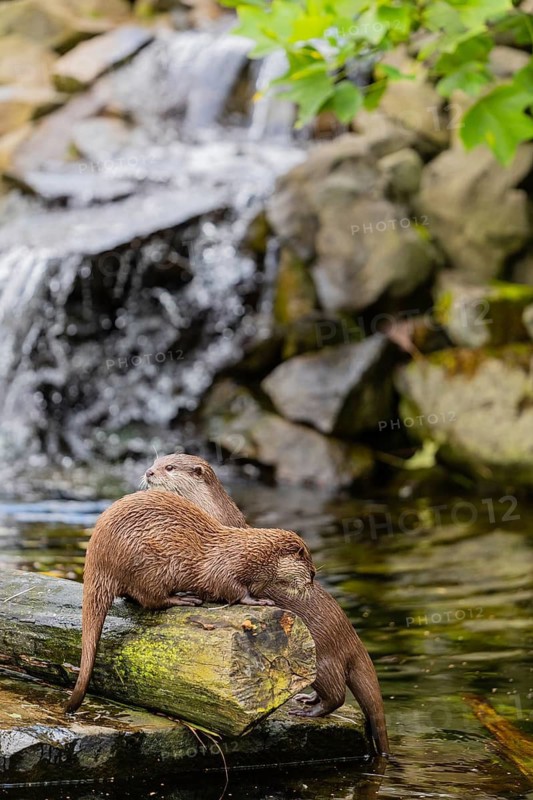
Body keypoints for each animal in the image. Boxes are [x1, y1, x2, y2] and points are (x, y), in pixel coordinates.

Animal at [65, 490, 314, 714]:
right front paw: (259, 601)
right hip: (146, 566)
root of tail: (97, 557)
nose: (312, 581)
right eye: (309, 570)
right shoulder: (223, 568)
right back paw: (185, 598)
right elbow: (233, 589)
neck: (248, 555)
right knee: (150, 599)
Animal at [143, 453, 390, 756]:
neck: (208, 512)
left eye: (169, 467)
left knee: (337, 694)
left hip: (323, 656)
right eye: (157, 461)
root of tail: (351, 636)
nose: (149, 472)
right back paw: (306, 699)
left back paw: (309, 711)